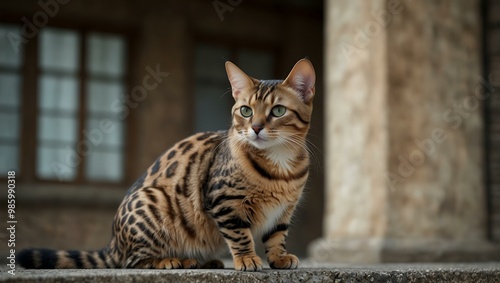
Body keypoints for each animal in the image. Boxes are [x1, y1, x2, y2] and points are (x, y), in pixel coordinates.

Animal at [20, 58, 316, 272]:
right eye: (245, 111)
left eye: (278, 111)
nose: (255, 128)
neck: (279, 164)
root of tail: (113, 243)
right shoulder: (223, 201)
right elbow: (239, 234)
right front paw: (246, 258)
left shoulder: (284, 210)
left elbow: (277, 235)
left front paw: (278, 258)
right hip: (154, 204)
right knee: (132, 262)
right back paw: (174, 260)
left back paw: (204, 261)